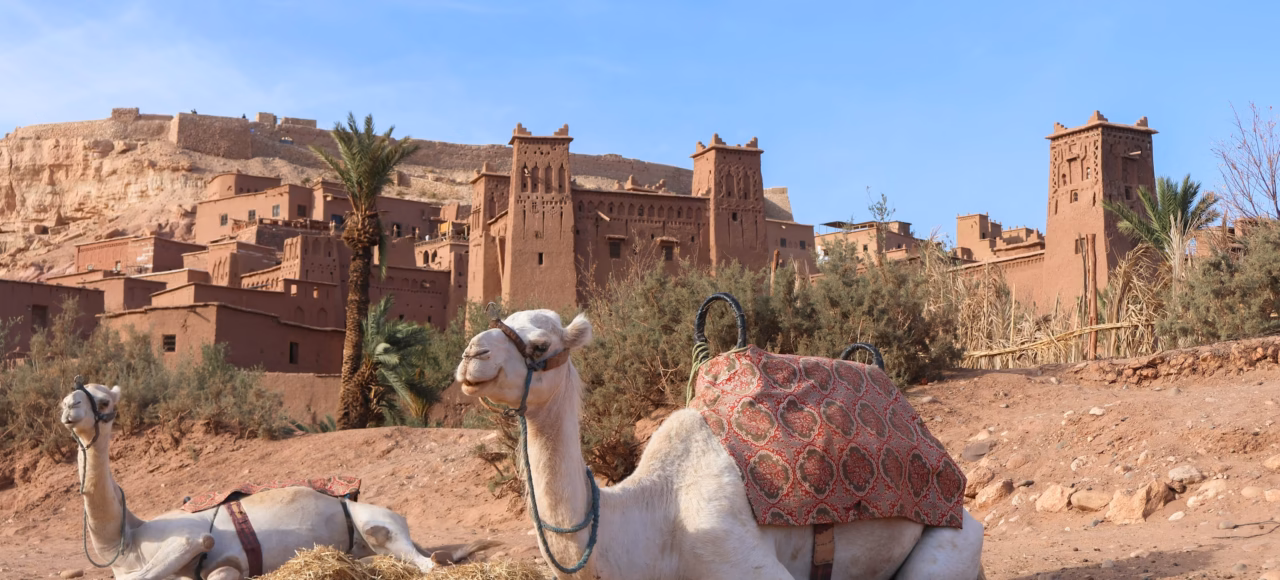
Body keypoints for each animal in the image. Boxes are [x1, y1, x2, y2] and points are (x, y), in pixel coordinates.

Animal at [60, 382, 493, 580]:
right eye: (73, 394)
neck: (126, 541)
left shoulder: (199, 545)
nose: (69, 405)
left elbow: (195, 546)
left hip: (378, 524)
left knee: (425, 562)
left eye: (104, 401)